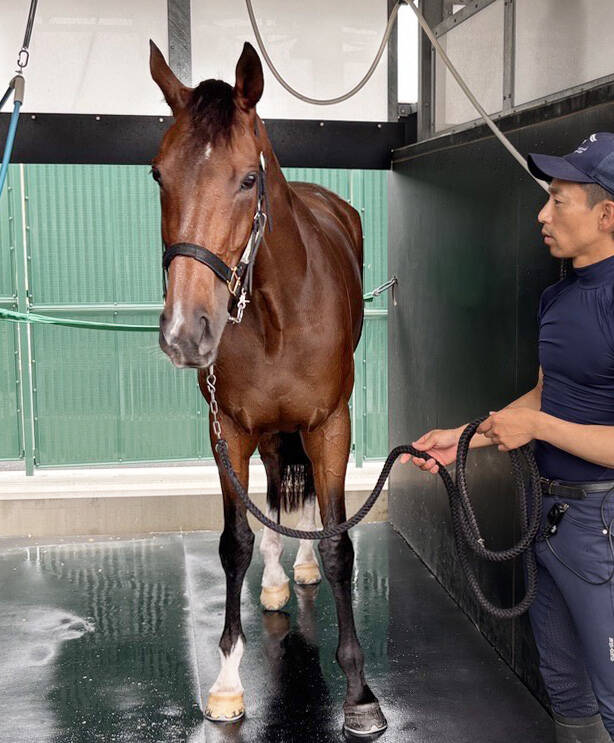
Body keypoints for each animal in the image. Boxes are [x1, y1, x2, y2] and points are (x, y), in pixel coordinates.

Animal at [149, 40, 387, 737]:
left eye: (248, 180)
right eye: (158, 175)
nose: (185, 331)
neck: (279, 310)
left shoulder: (332, 423)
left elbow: (338, 544)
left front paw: (359, 692)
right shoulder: (227, 429)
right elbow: (236, 543)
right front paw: (228, 680)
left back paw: (299, 569)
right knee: (279, 485)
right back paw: (282, 576)